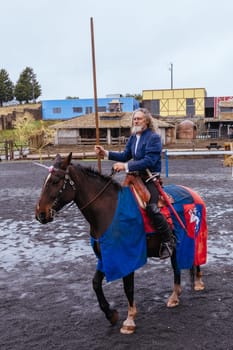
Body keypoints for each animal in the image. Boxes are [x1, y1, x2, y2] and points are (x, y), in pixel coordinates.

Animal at [35, 153, 208, 334]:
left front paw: (129, 320)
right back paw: (178, 294)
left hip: (190, 238)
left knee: (189, 261)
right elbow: (95, 283)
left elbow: (128, 287)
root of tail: (194, 194)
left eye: (55, 181)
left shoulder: (127, 257)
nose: (40, 214)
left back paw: (195, 284)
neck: (108, 211)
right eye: (45, 181)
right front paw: (111, 314)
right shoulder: (105, 257)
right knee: (180, 267)